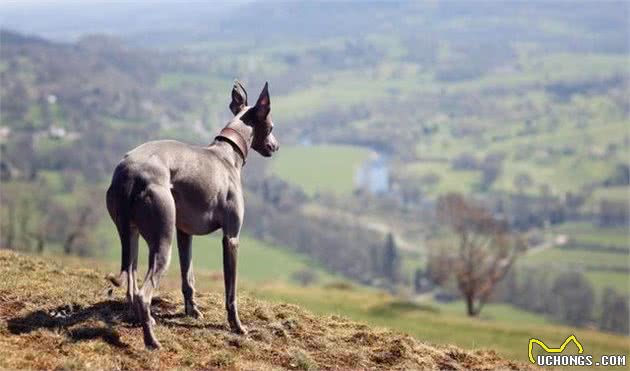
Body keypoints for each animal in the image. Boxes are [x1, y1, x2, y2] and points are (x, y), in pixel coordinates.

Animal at [106, 80, 278, 348]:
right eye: (271, 126)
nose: (275, 146)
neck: (226, 154)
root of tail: (130, 174)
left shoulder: (184, 233)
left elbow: (188, 278)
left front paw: (192, 311)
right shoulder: (231, 238)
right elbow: (231, 292)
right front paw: (237, 326)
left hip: (131, 236)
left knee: (132, 286)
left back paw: (143, 320)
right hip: (161, 242)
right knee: (144, 293)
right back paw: (151, 341)